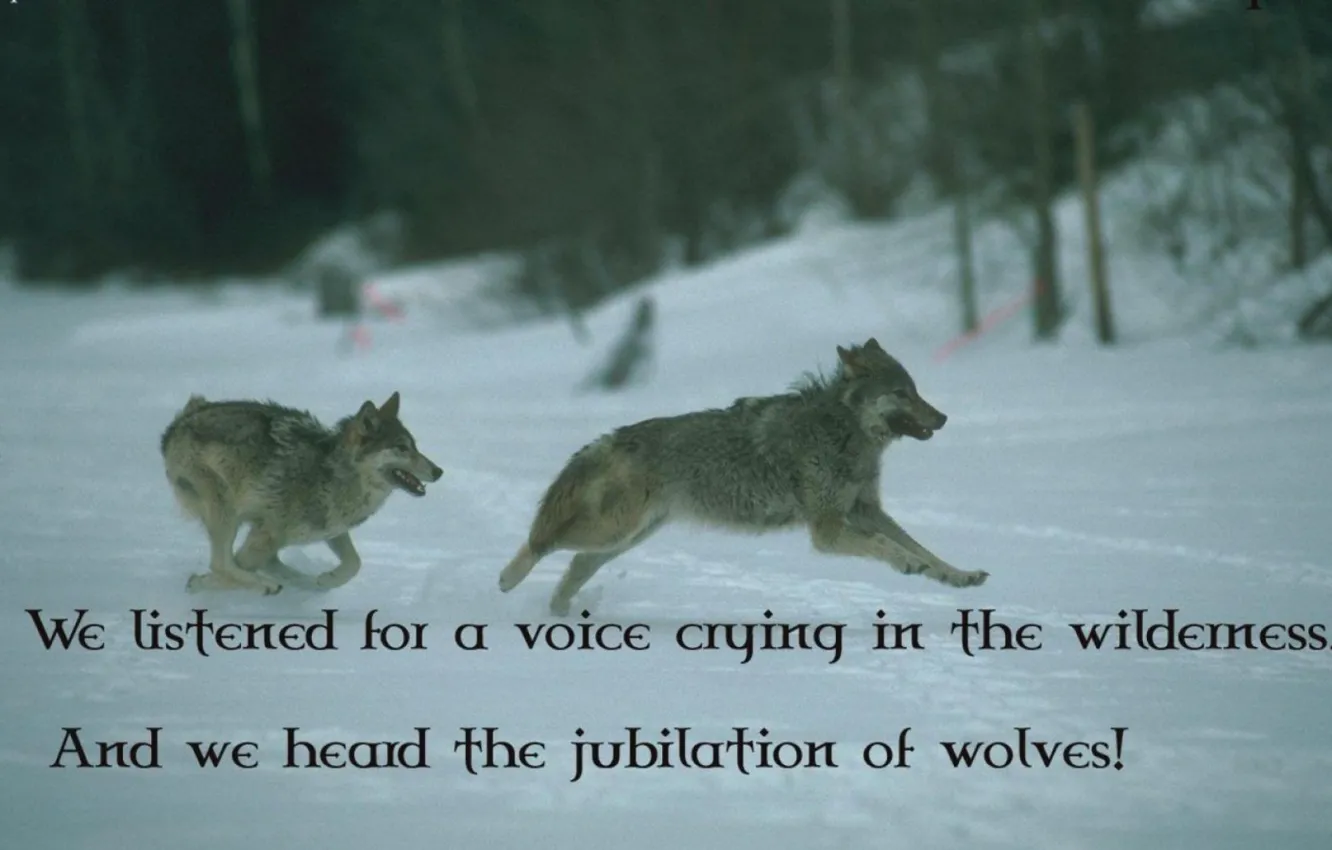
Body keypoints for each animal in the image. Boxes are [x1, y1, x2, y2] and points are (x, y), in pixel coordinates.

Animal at [160, 391, 442, 594]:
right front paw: (199, 583)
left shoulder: (331, 529)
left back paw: (297, 580)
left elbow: (354, 564)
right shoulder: (266, 534)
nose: (439, 471)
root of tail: (178, 423)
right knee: (221, 563)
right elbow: (230, 567)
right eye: (402, 448)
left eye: (414, 446)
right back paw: (267, 585)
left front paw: (323, 581)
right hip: (225, 511)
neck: (333, 475)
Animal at [498, 337, 987, 616]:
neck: (843, 431)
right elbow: (891, 548)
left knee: (575, 563)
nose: (943, 418)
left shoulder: (866, 511)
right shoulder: (828, 530)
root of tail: (612, 437)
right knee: (541, 544)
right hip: (613, 532)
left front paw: (957, 576)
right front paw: (908, 565)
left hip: (624, 538)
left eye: (917, 391)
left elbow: (925, 549)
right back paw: (508, 582)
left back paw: (560, 612)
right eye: (901, 393)